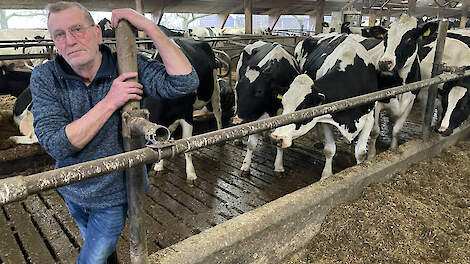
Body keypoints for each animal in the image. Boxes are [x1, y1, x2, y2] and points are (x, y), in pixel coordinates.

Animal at [146, 37, 221, 186]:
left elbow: (188, 145)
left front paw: (191, 174)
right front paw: (159, 166)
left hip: (215, 86)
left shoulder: (187, 114)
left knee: (217, 112)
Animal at [230, 40, 298, 175]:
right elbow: (251, 144)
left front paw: (279, 167)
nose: (237, 121)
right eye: (238, 89)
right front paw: (245, 167)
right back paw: (238, 140)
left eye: (259, 91)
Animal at [270, 32, 376, 177]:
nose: (276, 138)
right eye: (284, 104)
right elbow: (329, 150)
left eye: (304, 107)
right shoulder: (326, 116)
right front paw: (326, 175)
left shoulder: (370, 117)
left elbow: (360, 153)